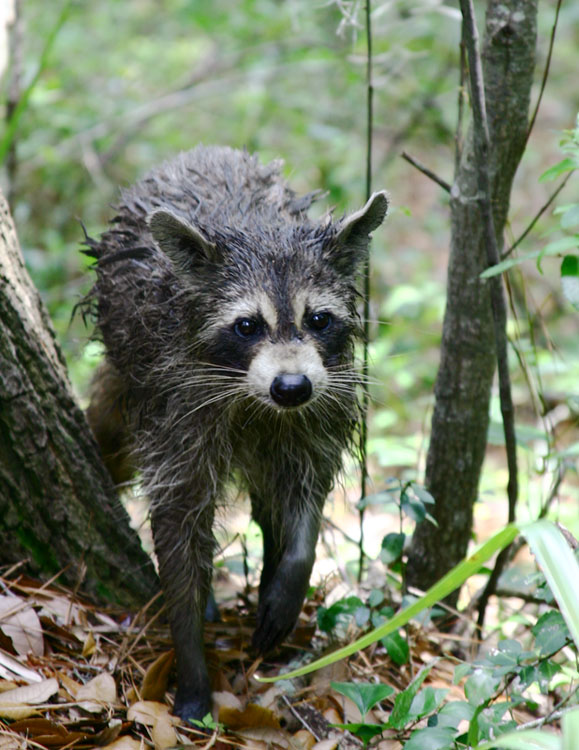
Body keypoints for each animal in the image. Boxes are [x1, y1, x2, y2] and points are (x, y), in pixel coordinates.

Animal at [82, 147, 390, 724]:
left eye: (319, 319)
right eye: (247, 325)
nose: (291, 386)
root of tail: (201, 149)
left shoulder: (320, 402)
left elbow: (306, 491)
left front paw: (293, 569)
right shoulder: (177, 408)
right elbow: (178, 523)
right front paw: (191, 658)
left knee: (270, 500)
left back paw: (273, 575)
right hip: (128, 376)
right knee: (112, 434)